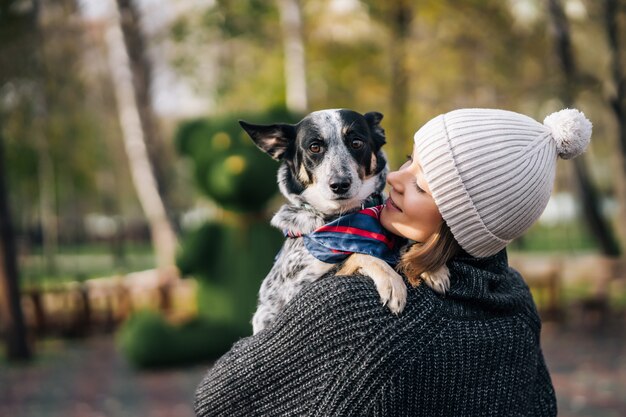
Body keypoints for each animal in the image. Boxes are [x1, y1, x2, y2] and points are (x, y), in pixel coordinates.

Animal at [239, 109, 448, 334]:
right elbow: (359, 255)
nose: (339, 184)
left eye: (356, 143)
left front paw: (430, 264)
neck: (347, 217)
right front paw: (392, 280)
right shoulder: (293, 293)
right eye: (314, 147)